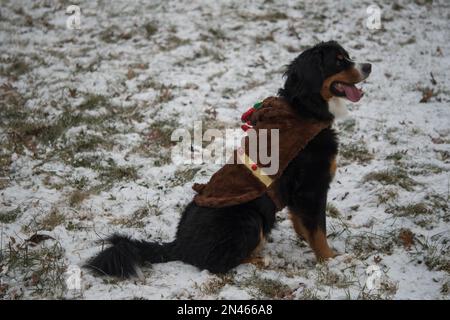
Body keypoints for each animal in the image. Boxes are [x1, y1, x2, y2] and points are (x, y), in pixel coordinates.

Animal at [86, 41, 370, 278]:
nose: (368, 66)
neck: (304, 109)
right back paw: (263, 261)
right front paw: (332, 260)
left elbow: (304, 224)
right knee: (219, 263)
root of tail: (178, 244)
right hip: (249, 219)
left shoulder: (298, 194)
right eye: (339, 61)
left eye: (347, 56)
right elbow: (318, 230)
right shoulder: (311, 188)